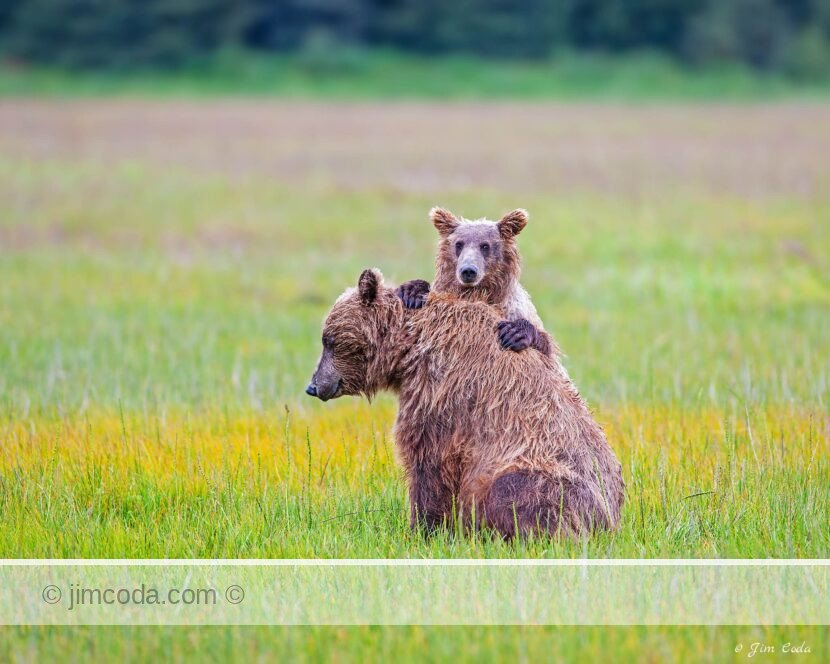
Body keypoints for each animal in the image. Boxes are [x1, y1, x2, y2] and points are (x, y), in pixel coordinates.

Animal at [306, 269, 624, 538]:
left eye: (328, 340)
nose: (314, 385)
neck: (411, 347)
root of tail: (610, 522)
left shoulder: (440, 391)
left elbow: (428, 459)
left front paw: (422, 530)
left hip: (544, 475)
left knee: (513, 492)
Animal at [397, 207, 554, 356]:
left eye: (485, 245)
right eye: (459, 244)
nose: (468, 270)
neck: (477, 292)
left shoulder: (514, 309)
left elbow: (545, 343)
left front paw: (514, 333)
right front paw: (412, 292)